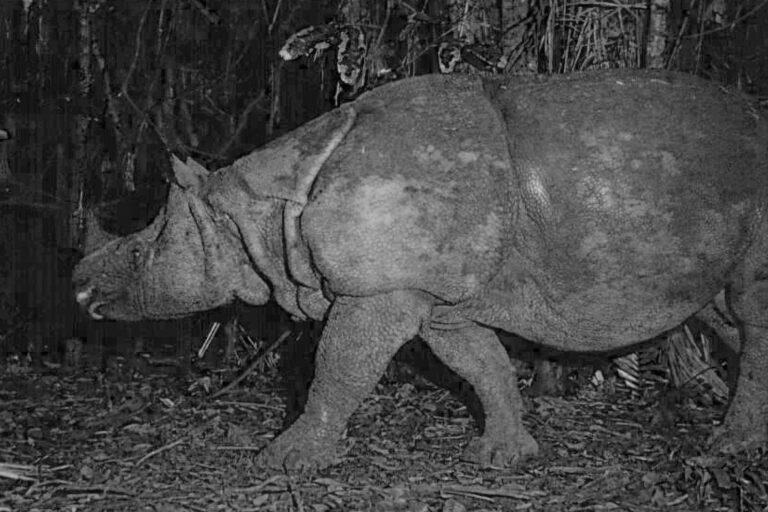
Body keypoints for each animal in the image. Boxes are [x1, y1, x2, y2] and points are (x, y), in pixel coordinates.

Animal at [75, 70, 768, 470]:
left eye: (137, 255)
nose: (79, 291)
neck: (257, 211)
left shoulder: (383, 285)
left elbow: (338, 367)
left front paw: (286, 460)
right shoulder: (436, 295)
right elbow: (481, 363)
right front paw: (504, 456)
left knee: (751, 309)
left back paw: (727, 449)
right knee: (722, 312)